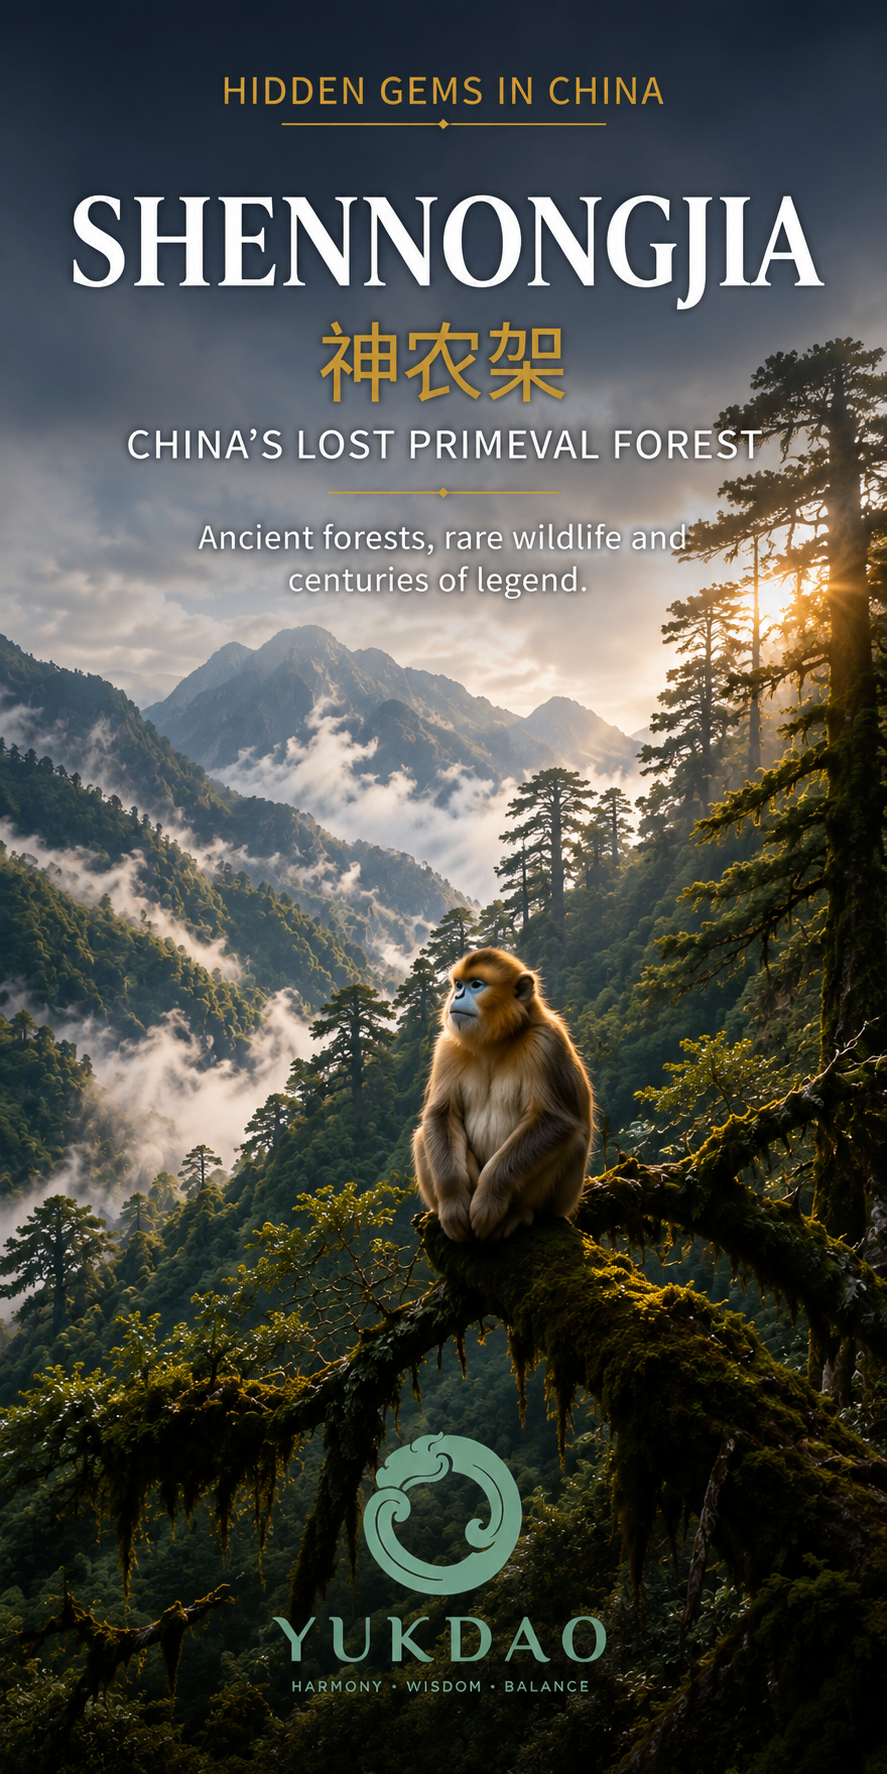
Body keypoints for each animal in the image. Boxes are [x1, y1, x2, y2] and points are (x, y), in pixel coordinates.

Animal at [412, 948, 593, 1244]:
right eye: (458, 985)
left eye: (476, 985)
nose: (457, 996)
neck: (494, 1044)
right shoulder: (447, 1047)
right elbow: (441, 1114)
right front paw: (453, 1203)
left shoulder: (546, 1043)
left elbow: (555, 1121)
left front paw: (489, 1199)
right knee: (421, 1136)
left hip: (562, 1200)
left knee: (571, 1142)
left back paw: (516, 1214)